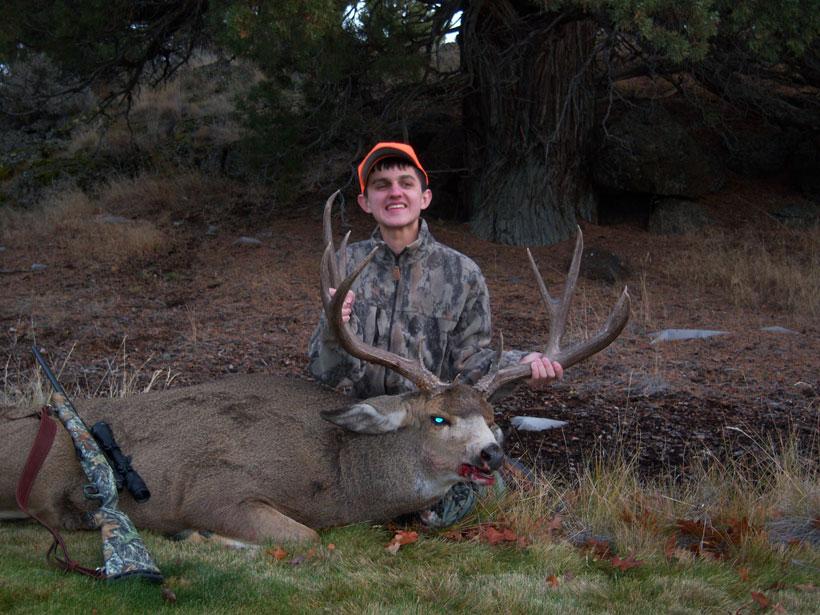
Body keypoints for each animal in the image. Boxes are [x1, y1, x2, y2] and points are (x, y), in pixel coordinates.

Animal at [0, 193, 630, 546]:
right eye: (438, 420)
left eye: (494, 419)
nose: (492, 454)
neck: (340, 477)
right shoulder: (214, 486)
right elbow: (305, 540)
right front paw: (195, 536)